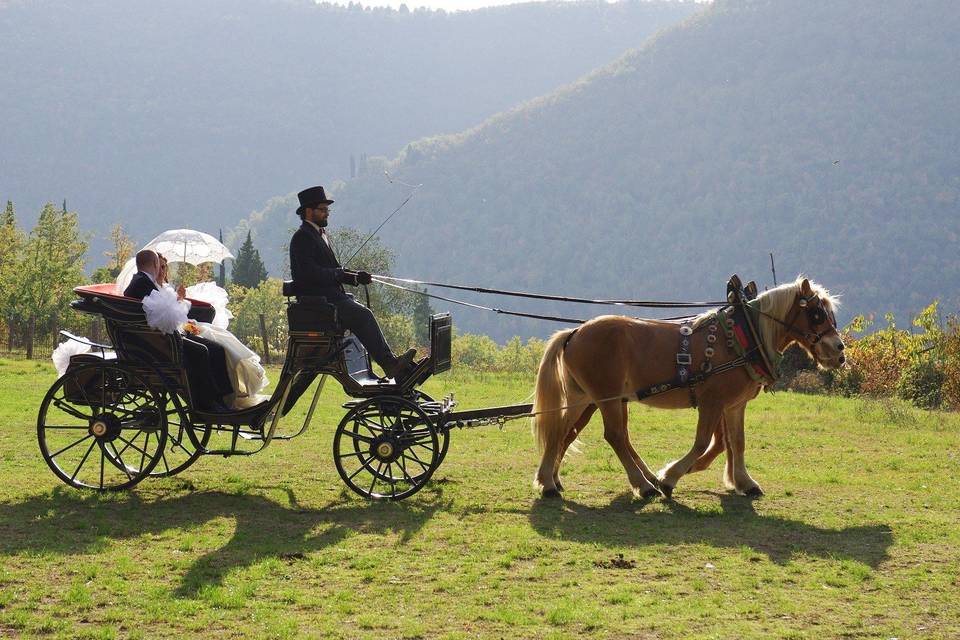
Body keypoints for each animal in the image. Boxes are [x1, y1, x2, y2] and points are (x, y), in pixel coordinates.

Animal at [528, 276, 844, 500]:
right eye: (816, 314)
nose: (839, 352)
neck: (743, 338)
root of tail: (575, 332)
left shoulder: (734, 405)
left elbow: (737, 442)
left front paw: (745, 482)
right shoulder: (712, 403)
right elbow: (702, 442)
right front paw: (669, 477)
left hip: (585, 397)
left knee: (562, 431)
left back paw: (549, 481)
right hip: (606, 398)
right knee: (614, 436)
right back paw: (644, 485)